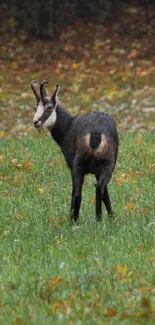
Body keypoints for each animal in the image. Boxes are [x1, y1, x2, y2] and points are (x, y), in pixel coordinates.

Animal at [30, 79, 119, 221]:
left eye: (49, 107)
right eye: (35, 108)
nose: (36, 122)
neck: (69, 126)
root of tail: (96, 133)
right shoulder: (97, 172)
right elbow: (106, 194)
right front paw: (112, 217)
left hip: (80, 166)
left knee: (79, 192)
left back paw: (78, 220)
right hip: (105, 165)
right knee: (97, 187)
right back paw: (96, 219)